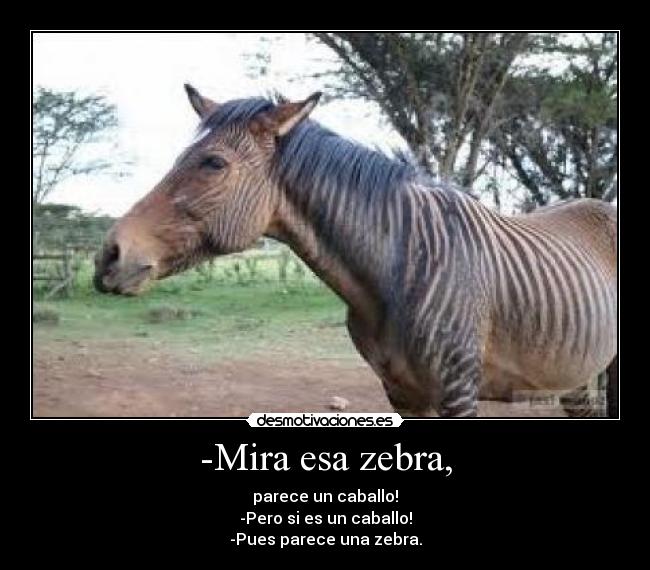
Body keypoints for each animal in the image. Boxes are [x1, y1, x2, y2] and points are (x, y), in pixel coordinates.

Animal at [94, 85, 618, 418]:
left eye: (213, 163)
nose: (108, 258)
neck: (399, 269)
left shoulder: (459, 389)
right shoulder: (402, 393)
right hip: (576, 368)